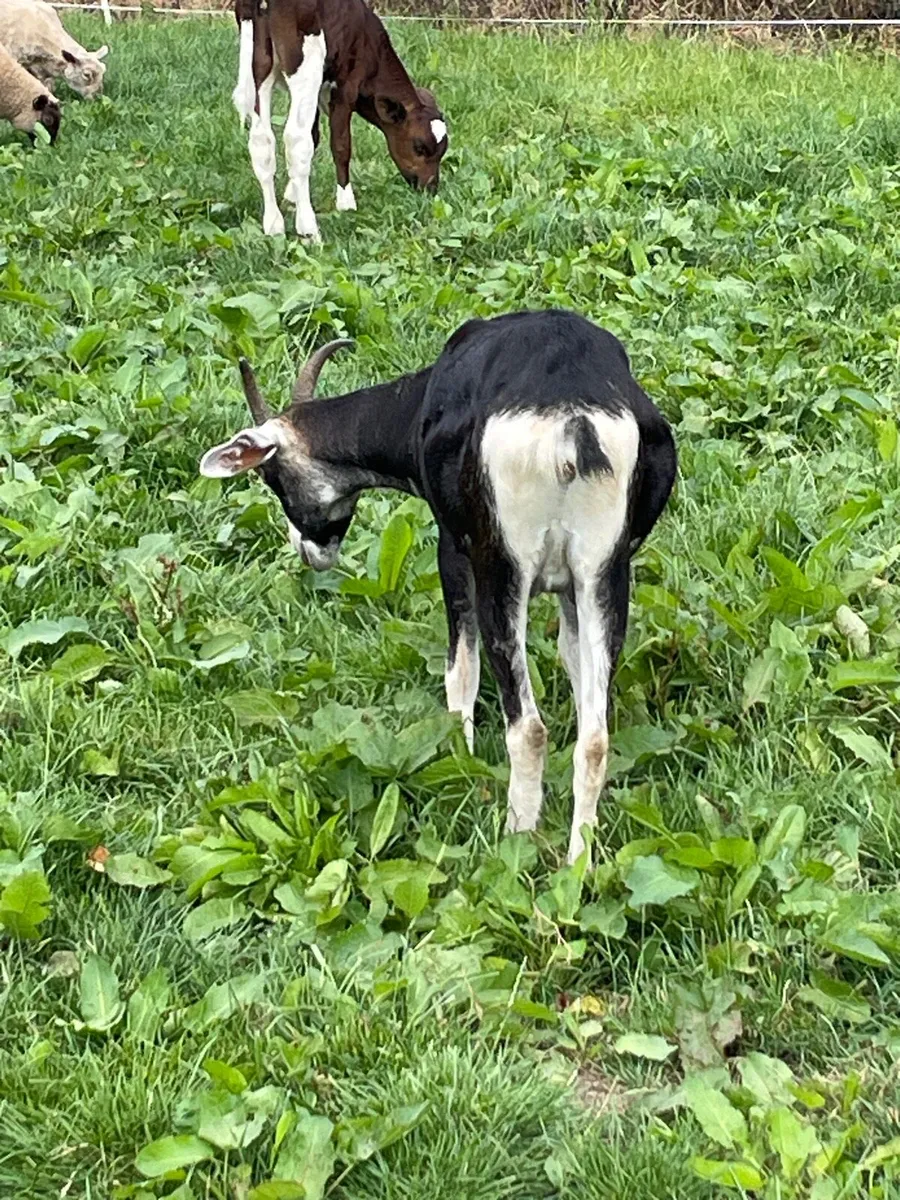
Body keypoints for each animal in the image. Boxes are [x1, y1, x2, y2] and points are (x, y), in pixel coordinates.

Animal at [199, 310, 677, 863]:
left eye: (273, 478)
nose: (310, 551)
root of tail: (572, 416)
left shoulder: (454, 550)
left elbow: (460, 670)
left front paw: (459, 757)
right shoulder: (572, 589)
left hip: (504, 572)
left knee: (528, 727)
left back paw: (516, 838)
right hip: (604, 573)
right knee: (595, 738)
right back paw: (579, 862)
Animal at [232, 0, 447, 242]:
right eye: (419, 147)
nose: (430, 188)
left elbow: (315, 136)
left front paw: (290, 196)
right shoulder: (346, 87)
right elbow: (341, 145)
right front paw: (346, 203)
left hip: (259, 66)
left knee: (262, 142)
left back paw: (273, 225)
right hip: (307, 63)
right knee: (297, 140)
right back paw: (308, 229)